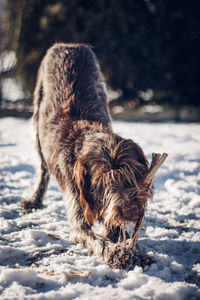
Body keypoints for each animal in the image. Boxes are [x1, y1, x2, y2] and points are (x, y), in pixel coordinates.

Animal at [19, 42, 152, 268]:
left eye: (132, 174)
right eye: (102, 182)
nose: (131, 211)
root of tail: (68, 45)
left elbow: (120, 232)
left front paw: (137, 251)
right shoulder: (79, 218)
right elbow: (98, 240)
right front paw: (117, 254)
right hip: (37, 120)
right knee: (43, 170)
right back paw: (35, 199)